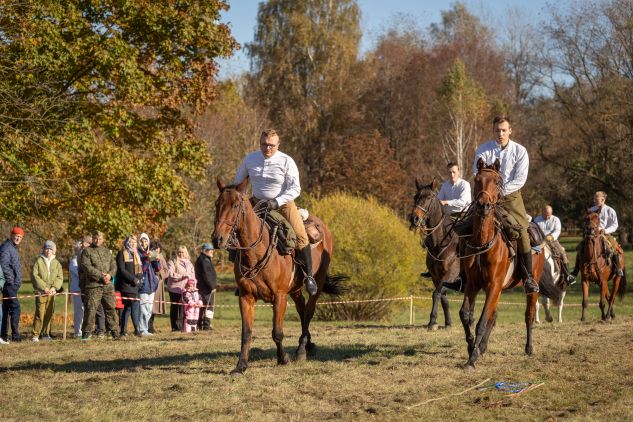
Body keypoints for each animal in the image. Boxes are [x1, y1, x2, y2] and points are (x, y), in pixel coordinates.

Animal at [211, 176, 340, 374]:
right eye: (217, 204)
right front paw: (241, 366)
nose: (217, 239)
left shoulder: (279, 297)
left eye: (235, 205)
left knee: (309, 310)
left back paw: (301, 349)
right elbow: (246, 333)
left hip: (315, 285)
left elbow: (277, 332)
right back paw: (308, 344)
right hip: (294, 290)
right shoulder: (246, 297)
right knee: (302, 309)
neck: (257, 250)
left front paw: (283, 359)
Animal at [410, 178, 460, 330]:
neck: (440, 244)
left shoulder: (450, 275)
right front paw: (447, 322)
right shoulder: (435, 276)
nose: (414, 218)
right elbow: (442, 296)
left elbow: (436, 293)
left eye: (429, 197)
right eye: (415, 197)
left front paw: (432, 321)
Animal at [456, 159, 544, 370]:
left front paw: (472, 358)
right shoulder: (473, 285)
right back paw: (482, 347)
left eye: (497, 181)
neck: (484, 241)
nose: (483, 205)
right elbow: (466, 315)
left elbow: (481, 321)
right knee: (493, 317)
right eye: (477, 180)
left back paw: (528, 348)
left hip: (532, 285)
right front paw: (472, 347)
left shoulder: (493, 285)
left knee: (529, 315)